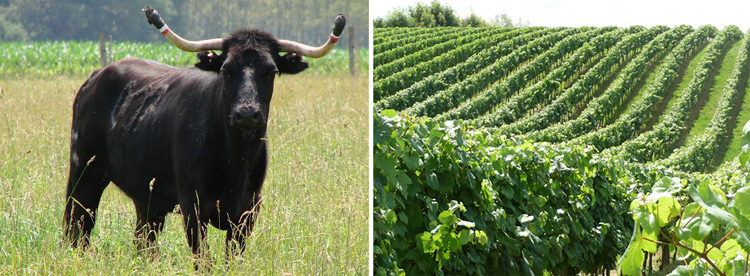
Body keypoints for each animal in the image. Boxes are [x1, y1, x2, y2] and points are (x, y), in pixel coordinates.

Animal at [61, 29, 312, 258]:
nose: (247, 114)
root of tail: (97, 75)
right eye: (226, 70)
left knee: (144, 241)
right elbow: (203, 259)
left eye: (271, 71)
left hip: (146, 196)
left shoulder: (249, 209)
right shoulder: (193, 205)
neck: (235, 162)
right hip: (85, 174)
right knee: (78, 229)